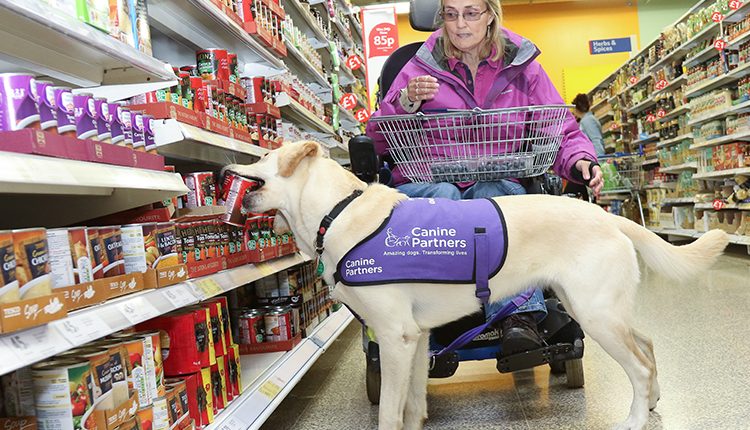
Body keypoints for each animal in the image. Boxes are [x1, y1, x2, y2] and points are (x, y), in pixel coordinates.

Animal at [226, 141, 732, 430]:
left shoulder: (393, 337)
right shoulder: (417, 339)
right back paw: (654, 401)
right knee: (646, 344)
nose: (227, 166)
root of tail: (607, 216)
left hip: (597, 316)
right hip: (596, 308)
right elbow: (412, 404)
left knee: (639, 367)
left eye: (262, 156)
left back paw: (634, 418)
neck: (337, 212)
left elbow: (388, 411)